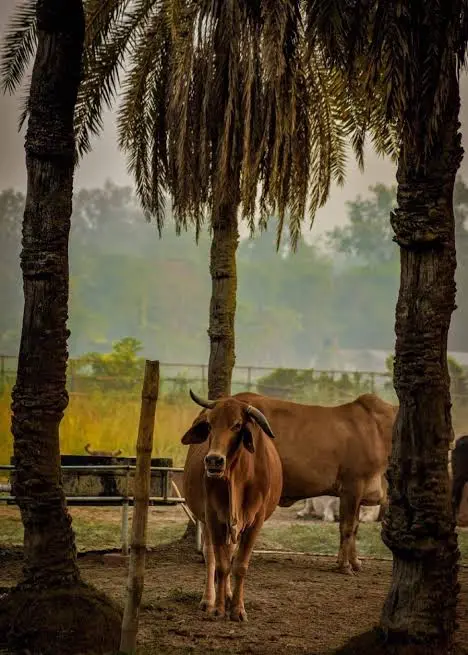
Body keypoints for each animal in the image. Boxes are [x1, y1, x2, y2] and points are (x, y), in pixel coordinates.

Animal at [182, 390, 283, 622]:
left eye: (237, 425)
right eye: (210, 424)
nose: (213, 460)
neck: (238, 477)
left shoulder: (255, 521)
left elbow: (239, 566)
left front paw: (237, 609)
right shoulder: (213, 517)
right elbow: (221, 565)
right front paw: (218, 608)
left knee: (229, 553)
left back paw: (228, 594)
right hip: (207, 520)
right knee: (211, 556)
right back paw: (209, 599)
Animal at [185, 390, 396, 575]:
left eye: (237, 425)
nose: (214, 459)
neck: (379, 430)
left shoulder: (359, 493)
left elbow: (355, 528)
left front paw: (355, 562)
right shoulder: (352, 486)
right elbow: (347, 528)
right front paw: (345, 566)